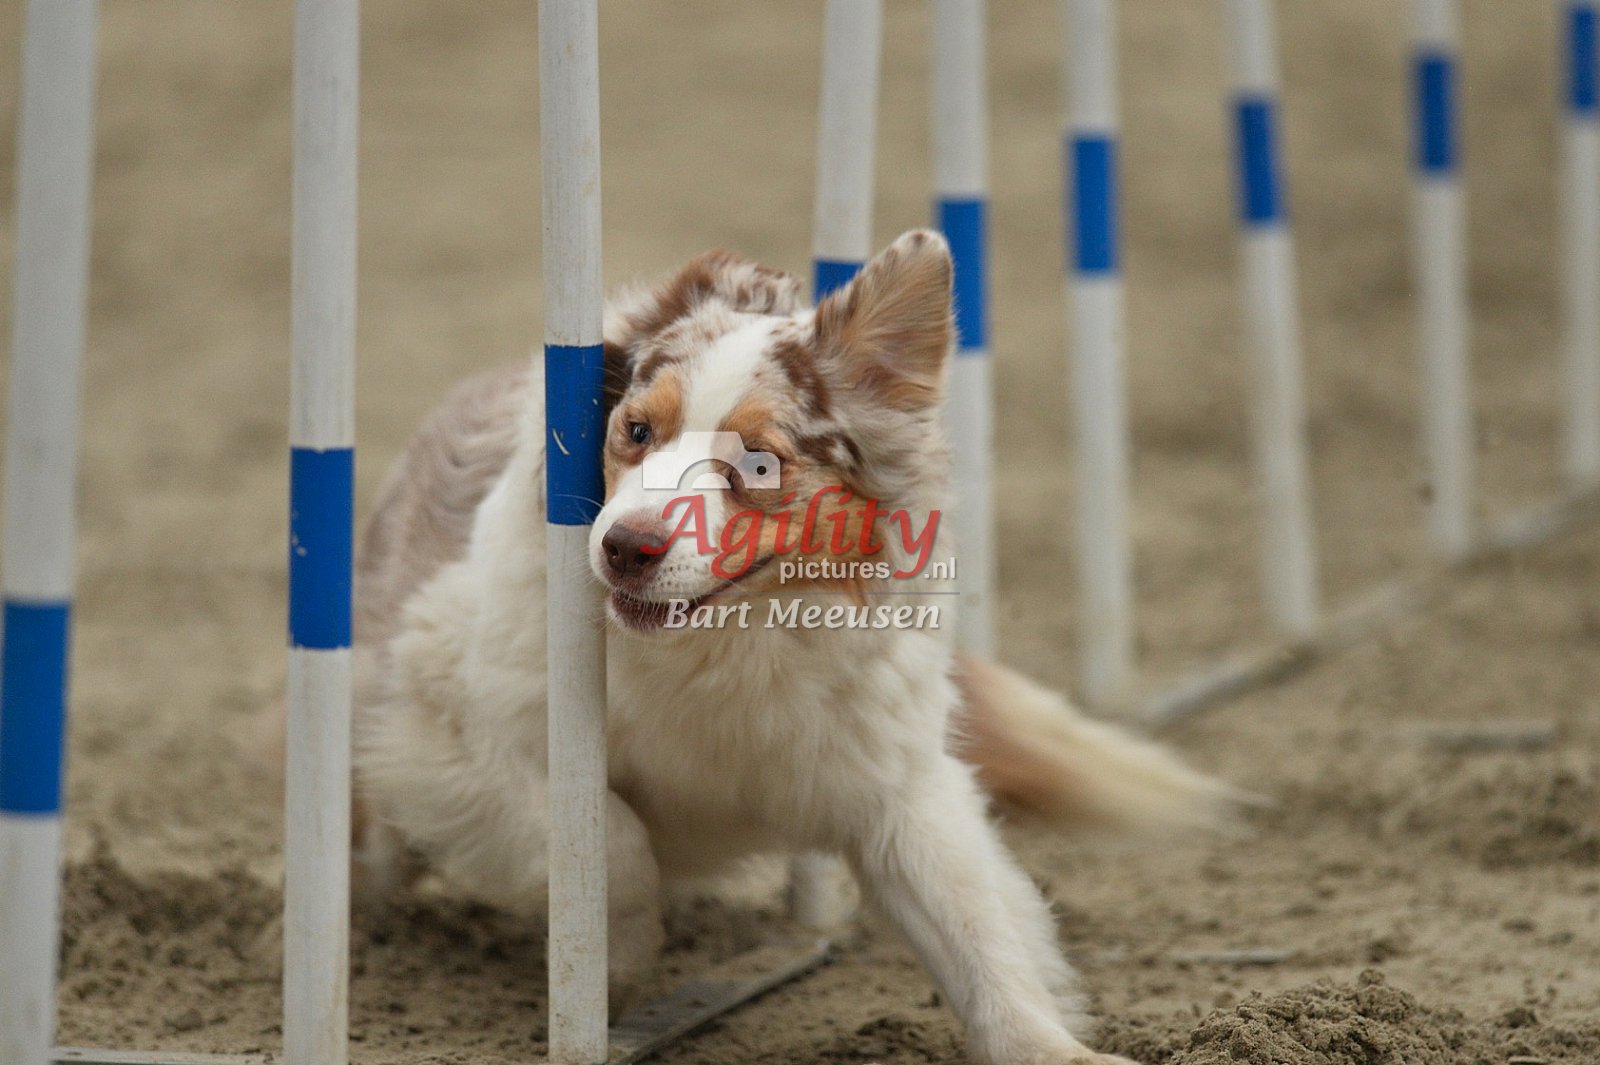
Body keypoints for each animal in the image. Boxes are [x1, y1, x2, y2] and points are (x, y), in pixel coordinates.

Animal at [349, 230, 1233, 1065]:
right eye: (635, 430)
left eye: (758, 462)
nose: (624, 547)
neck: (729, 641)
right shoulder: (449, 728)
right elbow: (612, 842)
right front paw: (617, 969)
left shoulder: (898, 784)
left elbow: (977, 931)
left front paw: (1055, 1049)